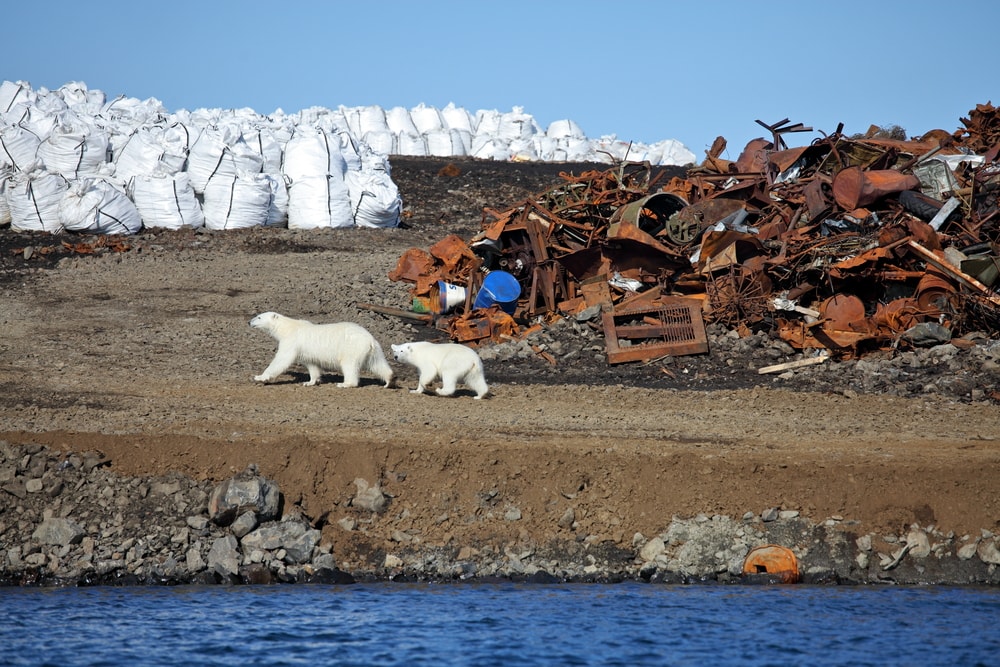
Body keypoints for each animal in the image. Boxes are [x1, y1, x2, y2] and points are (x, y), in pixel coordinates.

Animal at [248, 314, 392, 392]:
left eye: (259, 316)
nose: (249, 321)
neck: (287, 328)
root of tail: (370, 339)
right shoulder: (305, 351)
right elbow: (311, 364)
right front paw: (310, 381)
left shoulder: (291, 341)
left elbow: (282, 359)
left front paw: (260, 377)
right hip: (374, 350)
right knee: (378, 364)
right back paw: (389, 380)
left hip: (352, 347)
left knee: (349, 365)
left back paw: (344, 384)